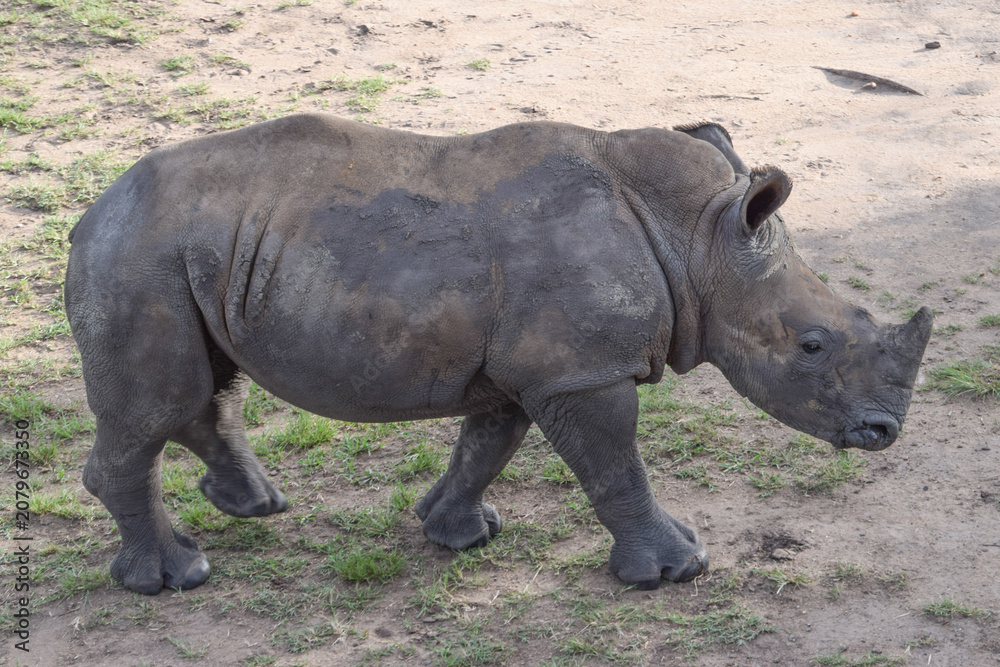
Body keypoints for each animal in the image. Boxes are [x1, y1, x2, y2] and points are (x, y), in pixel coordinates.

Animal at [65, 114, 932, 595]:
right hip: (139, 258)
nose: (885, 431)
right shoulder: (581, 371)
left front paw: (458, 532)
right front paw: (676, 568)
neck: (698, 238)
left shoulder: (531, 367)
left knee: (203, 391)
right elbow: (615, 465)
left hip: (186, 254)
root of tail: (92, 210)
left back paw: (253, 505)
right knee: (156, 408)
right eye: (811, 344)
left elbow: (486, 444)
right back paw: (176, 578)